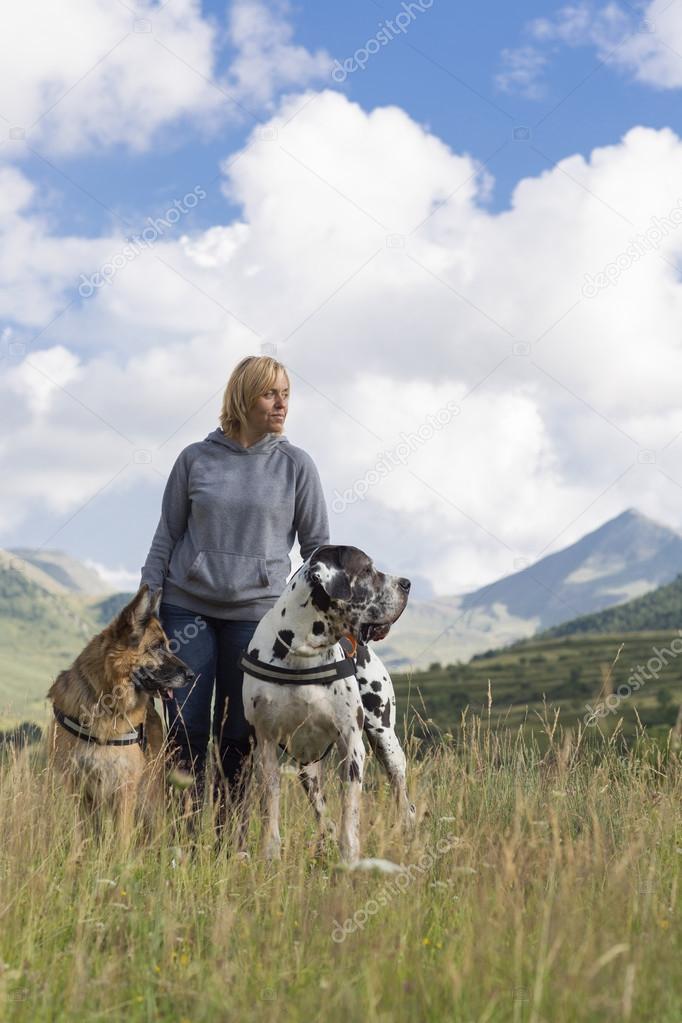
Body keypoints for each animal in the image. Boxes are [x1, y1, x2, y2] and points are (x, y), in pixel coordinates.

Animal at [45, 585, 194, 838]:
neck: (106, 702)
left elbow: (121, 839)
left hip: (150, 797)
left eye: (167, 645)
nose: (192, 675)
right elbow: (83, 835)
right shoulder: (78, 789)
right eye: (157, 647)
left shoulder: (125, 789)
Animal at [240, 544, 411, 863]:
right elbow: (270, 806)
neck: (302, 650)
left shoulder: (352, 745)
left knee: (404, 799)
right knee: (321, 811)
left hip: (386, 742)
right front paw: (270, 854)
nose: (406, 583)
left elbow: (350, 809)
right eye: (366, 570)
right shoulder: (265, 745)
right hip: (307, 769)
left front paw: (350, 856)